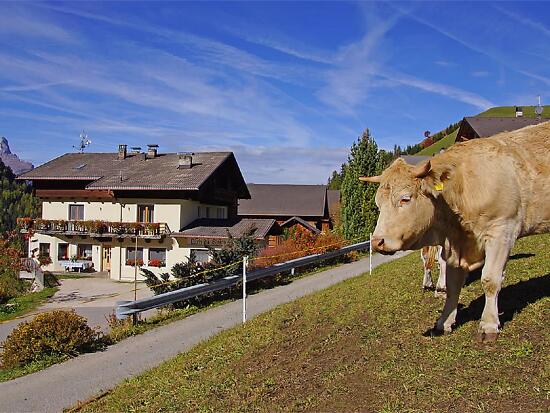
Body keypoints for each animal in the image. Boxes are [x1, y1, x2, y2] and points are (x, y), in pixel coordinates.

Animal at [360, 122, 550, 342]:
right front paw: (444, 321)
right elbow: (452, 285)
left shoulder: (502, 231)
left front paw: (488, 325)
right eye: (378, 205)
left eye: (405, 199)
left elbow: (490, 279)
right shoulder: (453, 245)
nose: (377, 242)